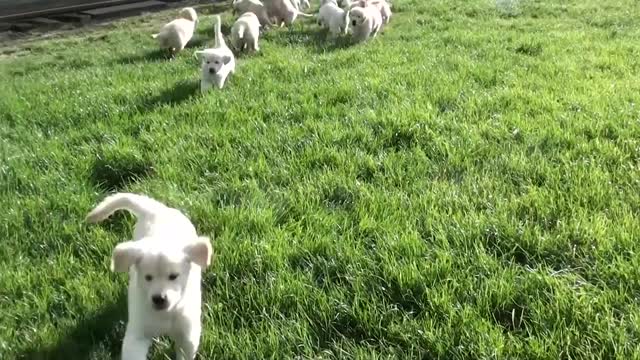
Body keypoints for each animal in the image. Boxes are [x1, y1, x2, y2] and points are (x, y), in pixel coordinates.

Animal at [85, 193, 214, 360]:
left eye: (173, 276)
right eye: (148, 277)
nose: (159, 299)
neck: (165, 315)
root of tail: (156, 209)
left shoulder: (187, 335)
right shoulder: (137, 334)